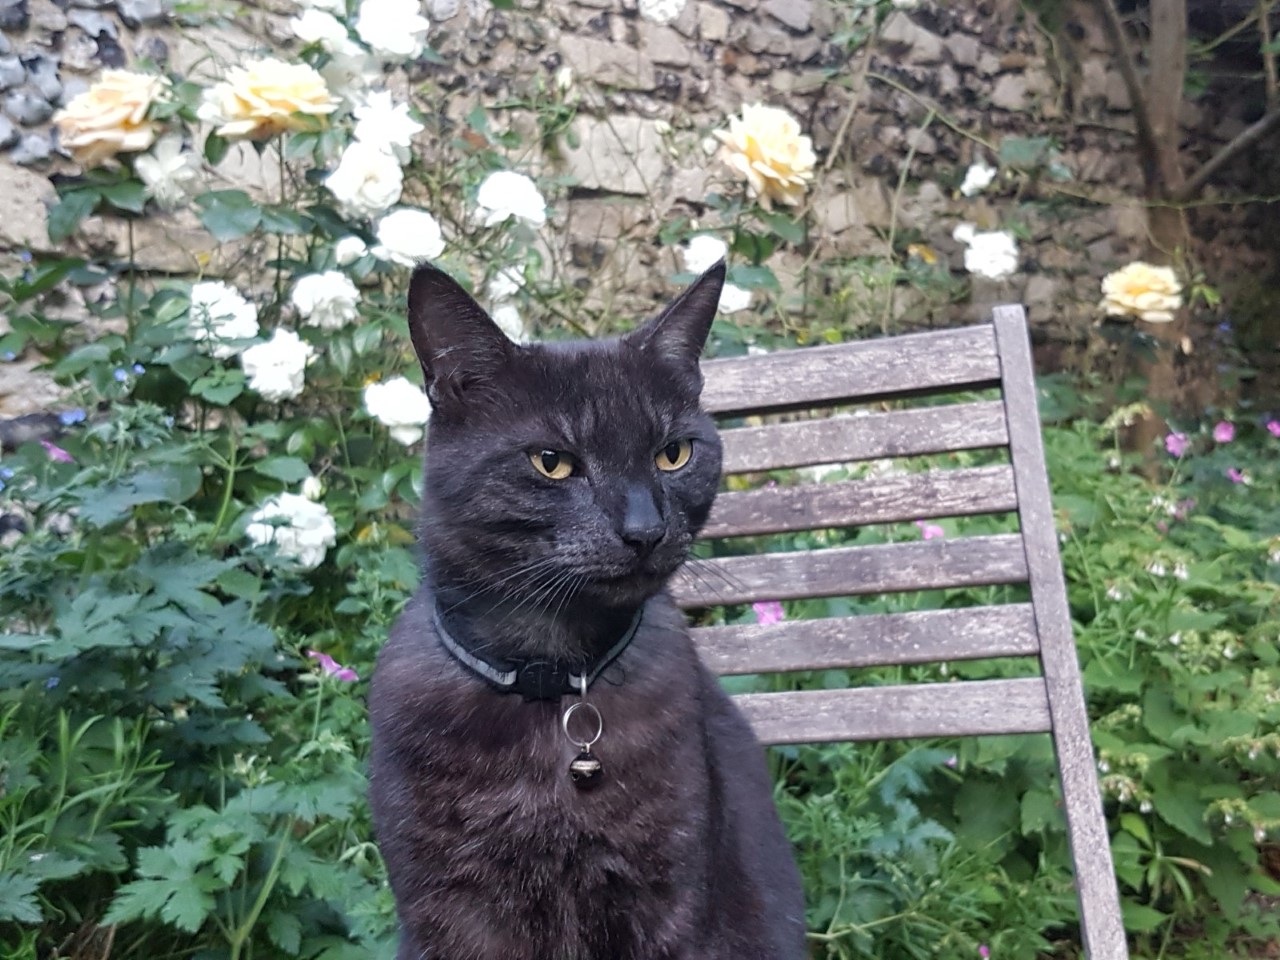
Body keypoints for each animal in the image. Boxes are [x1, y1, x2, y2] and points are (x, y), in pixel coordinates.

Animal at [371, 261, 803, 960]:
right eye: (552, 462)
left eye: (673, 453)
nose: (645, 530)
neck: (550, 684)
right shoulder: (448, 908)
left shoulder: (669, 897)